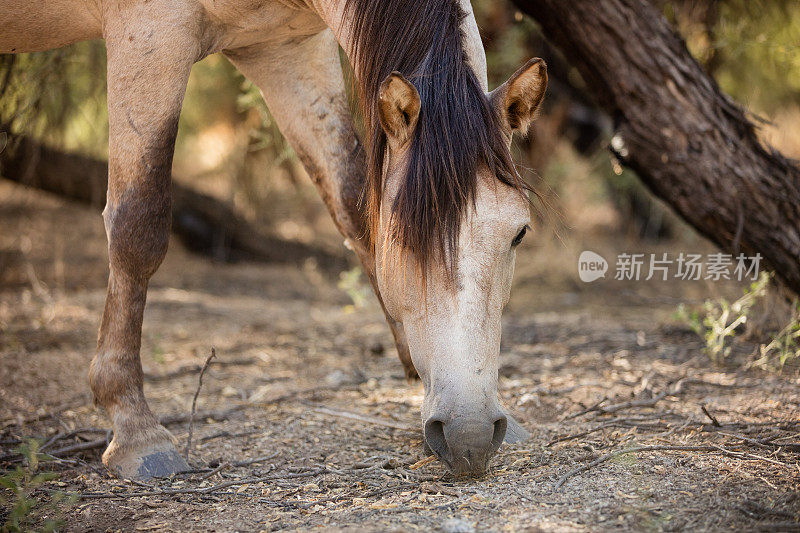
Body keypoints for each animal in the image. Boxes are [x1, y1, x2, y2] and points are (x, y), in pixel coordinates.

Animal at [0, 0, 548, 476]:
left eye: (519, 234)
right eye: (402, 236)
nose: (470, 436)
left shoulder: (288, 50)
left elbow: (350, 201)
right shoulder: (149, 38)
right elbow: (138, 228)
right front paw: (136, 430)